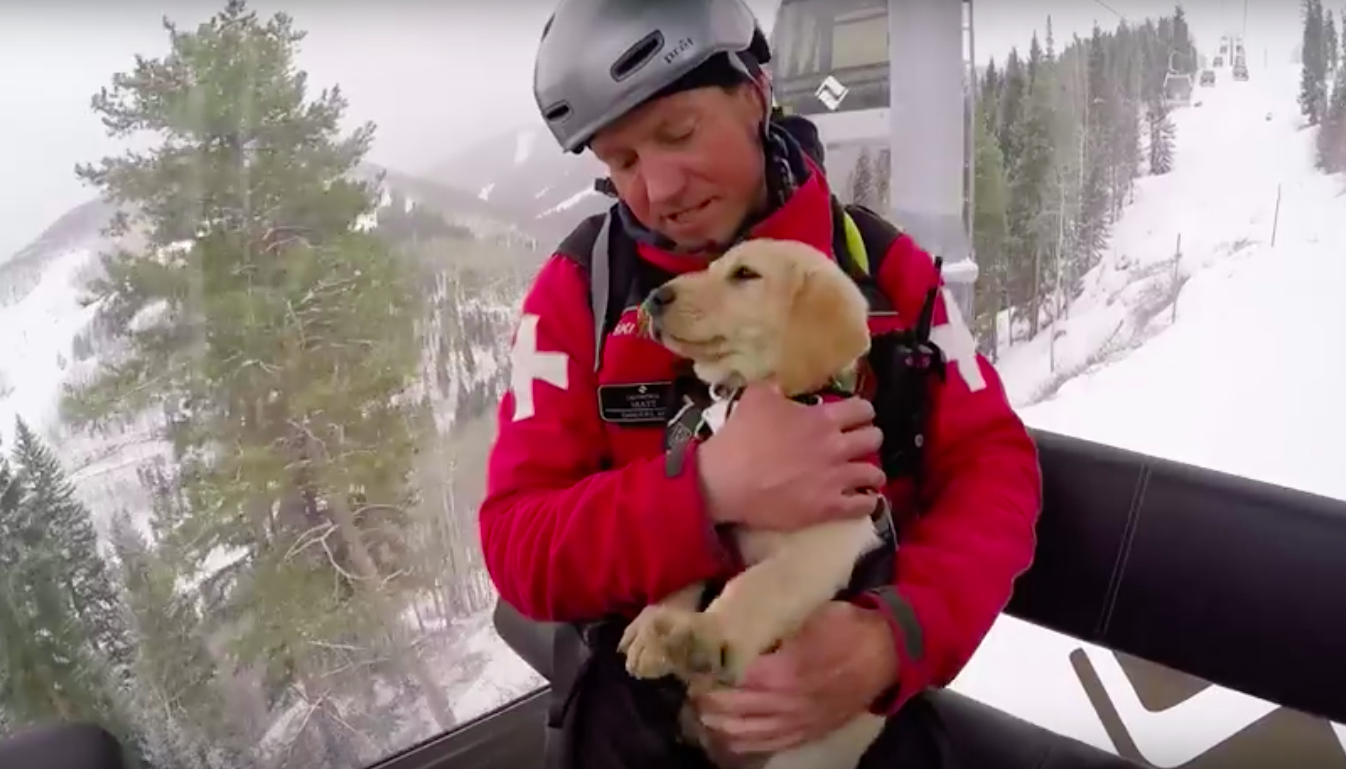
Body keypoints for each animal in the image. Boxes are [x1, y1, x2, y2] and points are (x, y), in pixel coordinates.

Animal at [616, 239, 888, 769]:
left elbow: (759, 584)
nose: (655, 297)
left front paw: (708, 634)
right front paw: (652, 624)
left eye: (745, 275)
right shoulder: (716, 509)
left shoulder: (827, 541)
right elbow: (688, 551)